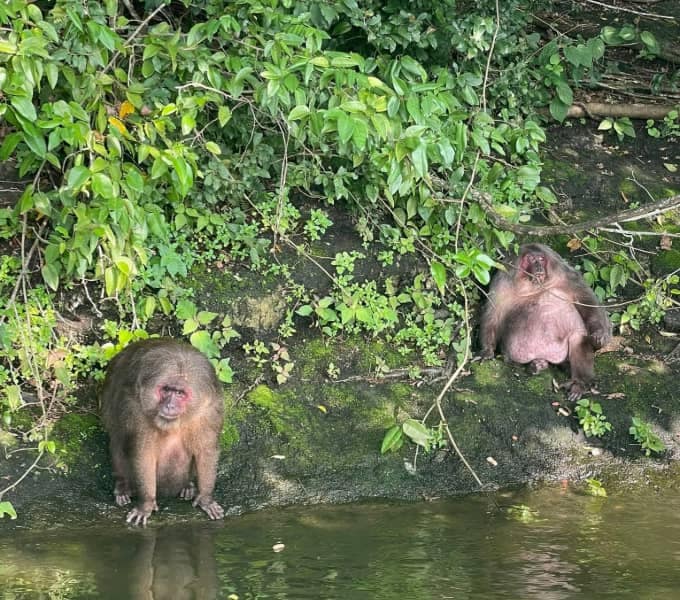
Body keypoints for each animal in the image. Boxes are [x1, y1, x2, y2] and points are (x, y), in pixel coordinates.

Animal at [101, 338, 225, 526]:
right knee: (118, 439)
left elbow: (206, 451)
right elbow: (144, 453)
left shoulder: (209, 411)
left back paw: (187, 485)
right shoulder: (136, 408)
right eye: (166, 389)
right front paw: (146, 503)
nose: (169, 406)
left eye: (180, 393)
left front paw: (205, 498)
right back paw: (123, 485)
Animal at [480, 243, 611, 401]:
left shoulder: (565, 274)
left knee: (578, 337)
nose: (538, 266)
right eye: (531, 259)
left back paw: (579, 383)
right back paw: (537, 365)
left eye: (541, 259)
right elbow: (493, 313)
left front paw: (600, 334)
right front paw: (487, 350)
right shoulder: (502, 280)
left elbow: (587, 301)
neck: (532, 284)